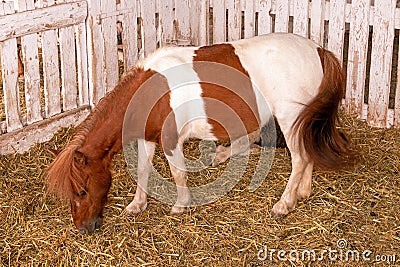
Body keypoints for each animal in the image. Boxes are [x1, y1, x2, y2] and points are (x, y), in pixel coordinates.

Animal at [46, 33, 354, 234]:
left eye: (82, 190)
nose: (83, 228)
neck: (151, 91)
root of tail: (318, 50)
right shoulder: (147, 138)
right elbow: (143, 169)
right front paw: (137, 204)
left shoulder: (170, 140)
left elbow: (178, 173)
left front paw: (181, 205)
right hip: (302, 121)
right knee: (308, 154)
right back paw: (303, 191)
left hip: (290, 119)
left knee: (299, 159)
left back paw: (284, 203)